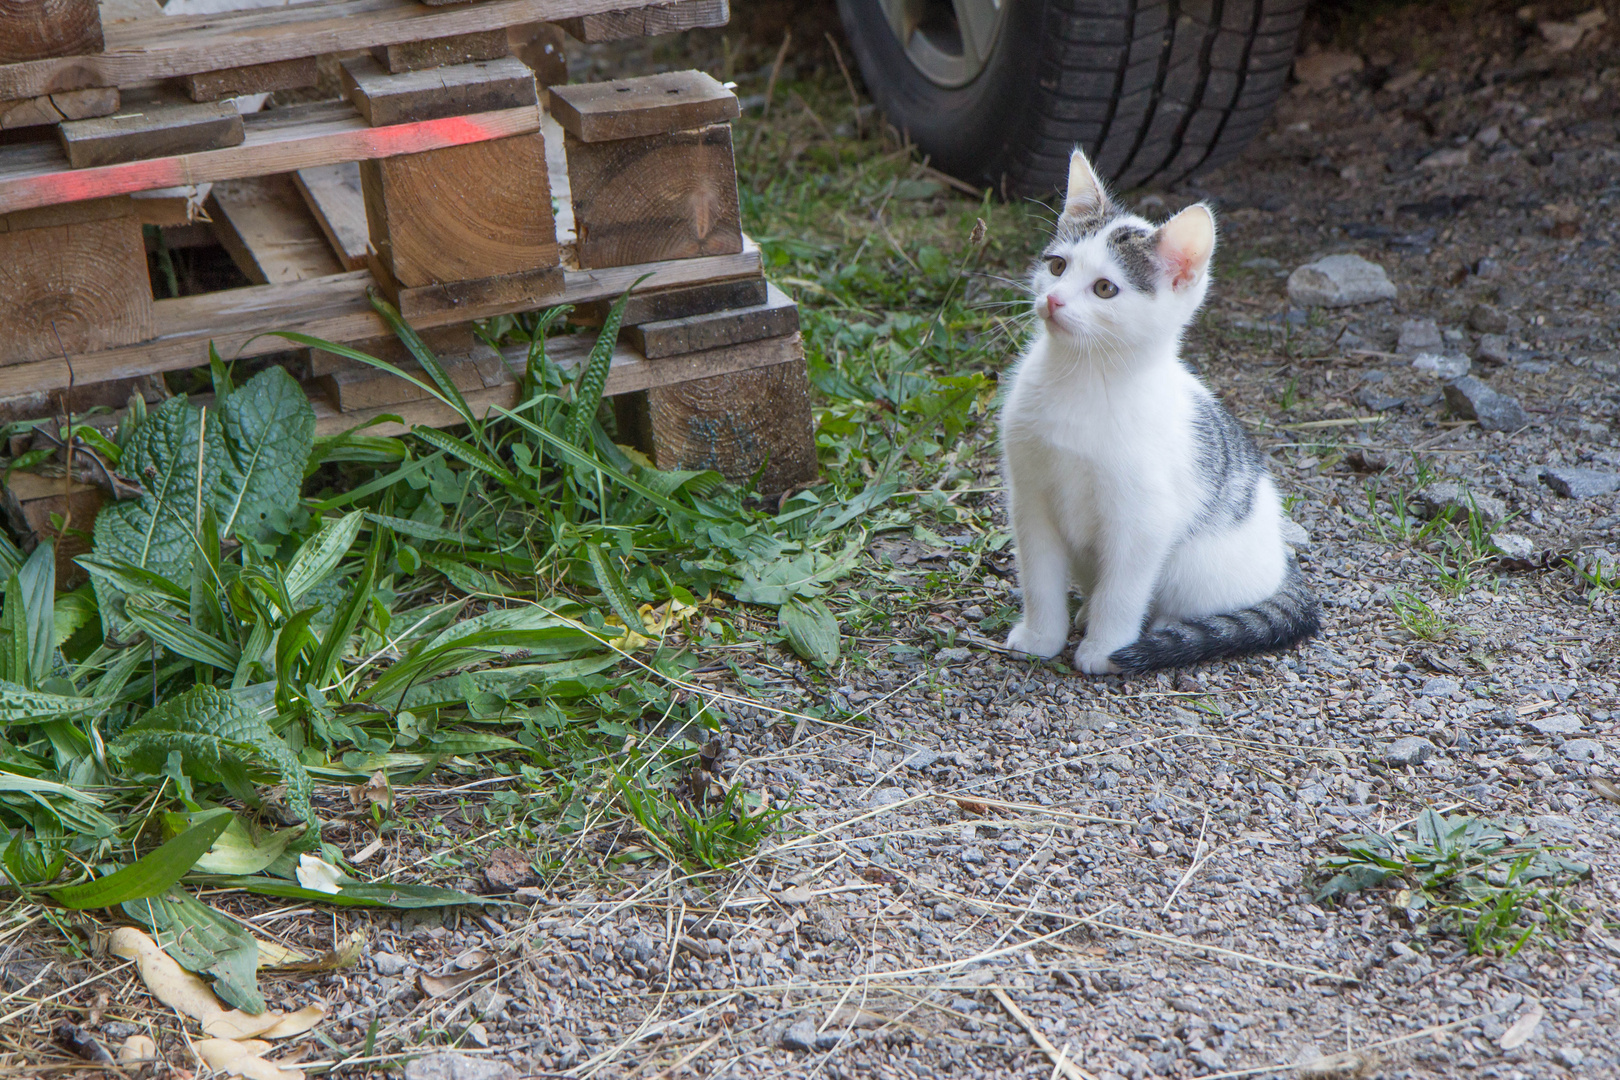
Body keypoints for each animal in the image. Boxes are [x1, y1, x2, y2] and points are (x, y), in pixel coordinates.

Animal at [997, 149, 1315, 676]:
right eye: (1058, 265)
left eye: (1105, 289)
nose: (1054, 299)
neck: (1084, 381)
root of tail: (1281, 564)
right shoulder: (1031, 498)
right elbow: (1039, 576)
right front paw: (1042, 635)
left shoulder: (1143, 519)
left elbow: (1123, 593)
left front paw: (1105, 650)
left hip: (1199, 566)